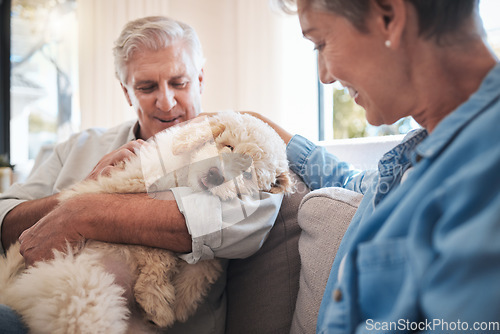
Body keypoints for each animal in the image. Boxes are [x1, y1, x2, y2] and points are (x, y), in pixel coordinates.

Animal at [0, 112, 292, 334]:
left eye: (248, 174)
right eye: (227, 146)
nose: (215, 175)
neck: (183, 180)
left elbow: (201, 269)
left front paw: (179, 305)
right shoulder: (124, 191)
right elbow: (155, 253)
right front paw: (157, 301)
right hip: (81, 293)